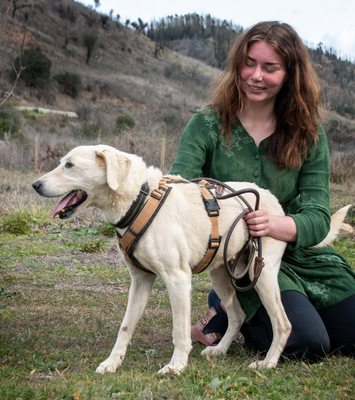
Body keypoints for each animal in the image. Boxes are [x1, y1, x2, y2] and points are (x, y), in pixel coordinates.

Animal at [32, 145, 350, 376]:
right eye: (62, 162)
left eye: (70, 165)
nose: (35, 184)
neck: (139, 199)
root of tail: (273, 202)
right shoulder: (140, 281)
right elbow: (125, 327)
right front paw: (112, 362)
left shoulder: (177, 279)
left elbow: (179, 331)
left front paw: (176, 366)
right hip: (222, 275)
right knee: (237, 315)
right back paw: (220, 350)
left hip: (262, 275)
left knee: (283, 324)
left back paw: (267, 364)